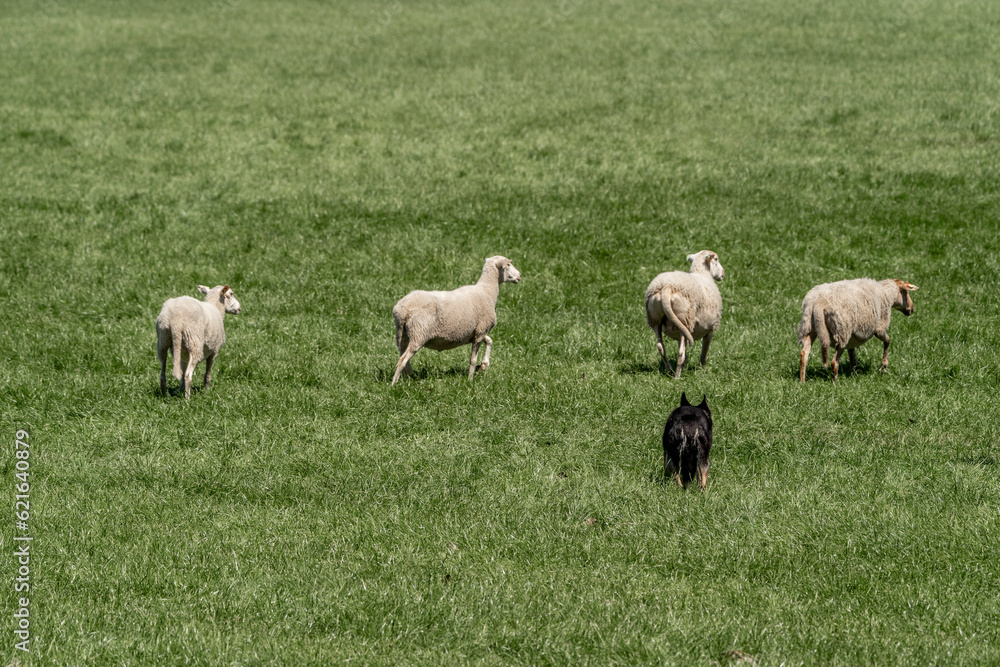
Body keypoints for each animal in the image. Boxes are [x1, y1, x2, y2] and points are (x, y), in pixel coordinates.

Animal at [392, 256, 521, 385]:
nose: (519, 275)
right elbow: (473, 359)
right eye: (508, 265)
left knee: (402, 355)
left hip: (403, 334)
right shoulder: (481, 330)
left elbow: (489, 341)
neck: (487, 291)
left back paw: (408, 376)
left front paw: (483, 365)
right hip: (419, 332)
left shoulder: (476, 331)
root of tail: (403, 309)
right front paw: (470, 380)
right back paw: (394, 384)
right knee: (402, 360)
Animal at [645, 250, 725, 378]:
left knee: (660, 347)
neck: (702, 273)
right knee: (681, 352)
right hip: (685, 319)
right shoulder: (711, 329)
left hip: (656, 319)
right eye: (716, 259)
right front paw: (704, 369)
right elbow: (704, 352)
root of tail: (666, 287)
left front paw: (685, 366)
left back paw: (669, 369)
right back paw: (677, 377)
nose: (723, 273)